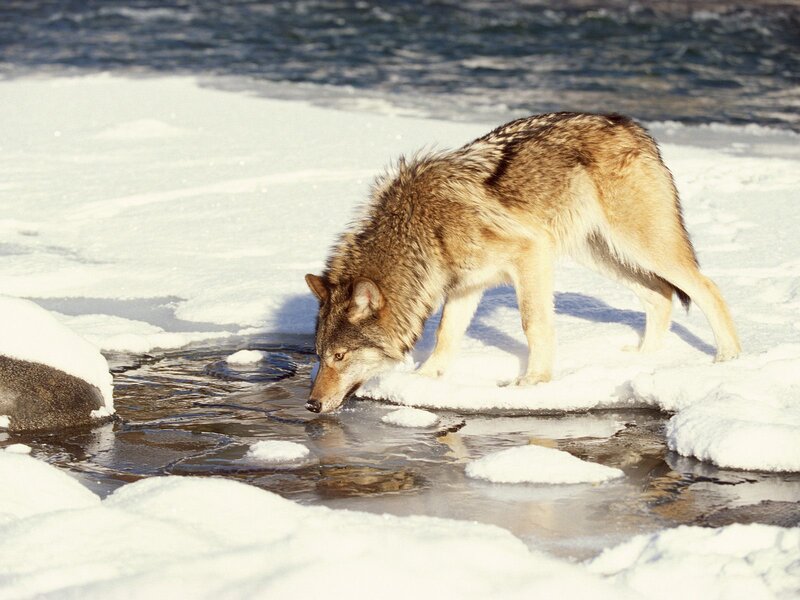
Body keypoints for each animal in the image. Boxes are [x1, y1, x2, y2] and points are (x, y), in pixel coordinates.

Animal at [305, 112, 740, 413]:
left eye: (340, 357)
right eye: (319, 356)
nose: (310, 404)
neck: (420, 230)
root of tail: (634, 127)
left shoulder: (530, 255)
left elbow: (534, 325)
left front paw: (535, 382)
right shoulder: (465, 286)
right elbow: (446, 336)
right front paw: (425, 380)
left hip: (641, 246)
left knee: (707, 287)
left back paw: (728, 359)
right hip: (601, 254)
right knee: (660, 296)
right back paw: (640, 360)